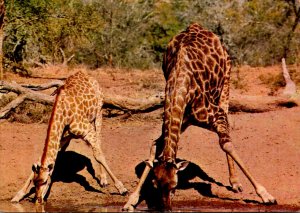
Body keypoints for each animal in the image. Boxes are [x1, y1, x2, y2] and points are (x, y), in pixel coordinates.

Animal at [10, 70, 126, 204]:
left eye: (45, 181)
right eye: (35, 182)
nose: (38, 200)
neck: (63, 113)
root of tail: (87, 74)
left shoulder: (88, 131)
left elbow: (98, 156)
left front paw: (121, 188)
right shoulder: (62, 136)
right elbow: (42, 159)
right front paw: (18, 195)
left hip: (99, 112)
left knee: (99, 142)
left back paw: (103, 180)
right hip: (72, 133)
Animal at [122, 23, 276, 211]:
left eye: (174, 185)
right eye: (155, 184)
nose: (167, 209)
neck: (179, 85)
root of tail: (197, 25)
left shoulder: (217, 115)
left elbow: (227, 145)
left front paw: (266, 195)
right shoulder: (181, 120)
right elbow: (155, 144)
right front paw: (131, 200)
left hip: (226, 83)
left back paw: (235, 183)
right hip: (188, 121)